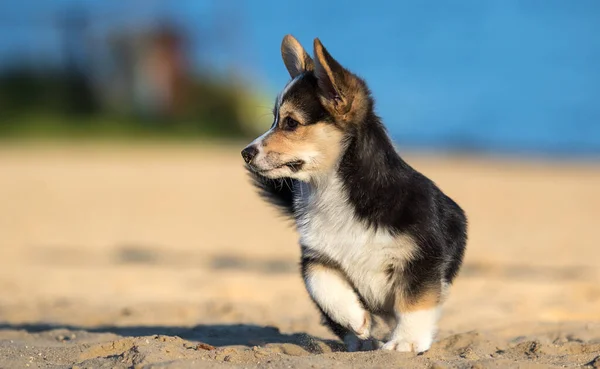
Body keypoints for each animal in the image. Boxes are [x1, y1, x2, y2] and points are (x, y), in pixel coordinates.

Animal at [241, 35, 466, 354]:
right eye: (274, 120)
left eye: (290, 123)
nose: (245, 153)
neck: (332, 190)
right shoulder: (316, 256)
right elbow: (322, 285)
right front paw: (355, 319)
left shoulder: (422, 258)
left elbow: (414, 302)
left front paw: (406, 342)